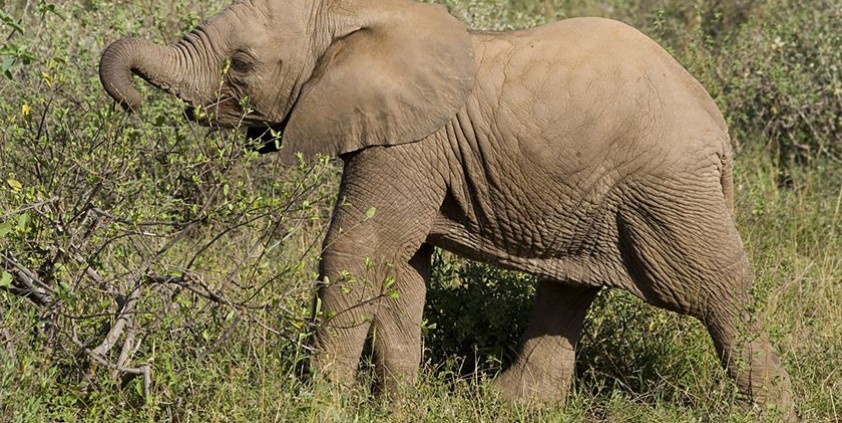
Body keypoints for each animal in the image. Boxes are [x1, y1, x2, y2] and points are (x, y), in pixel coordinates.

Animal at [99, 0, 794, 416]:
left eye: (240, 65)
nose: (131, 105)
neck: (347, 16)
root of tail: (720, 131)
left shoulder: (408, 143)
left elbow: (357, 250)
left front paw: (320, 405)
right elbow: (402, 268)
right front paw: (399, 406)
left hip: (666, 190)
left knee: (714, 290)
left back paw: (773, 407)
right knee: (571, 285)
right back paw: (508, 404)